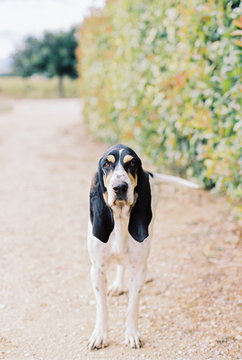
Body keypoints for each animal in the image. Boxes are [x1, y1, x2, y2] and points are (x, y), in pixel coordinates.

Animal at [86, 143, 199, 348]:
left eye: (132, 164)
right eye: (107, 164)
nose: (120, 187)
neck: (120, 218)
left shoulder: (137, 270)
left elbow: (133, 306)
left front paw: (132, 334)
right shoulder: (97, 269)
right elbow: (102, 307)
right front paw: (99, 335)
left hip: (150, 230)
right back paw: (117, 285)